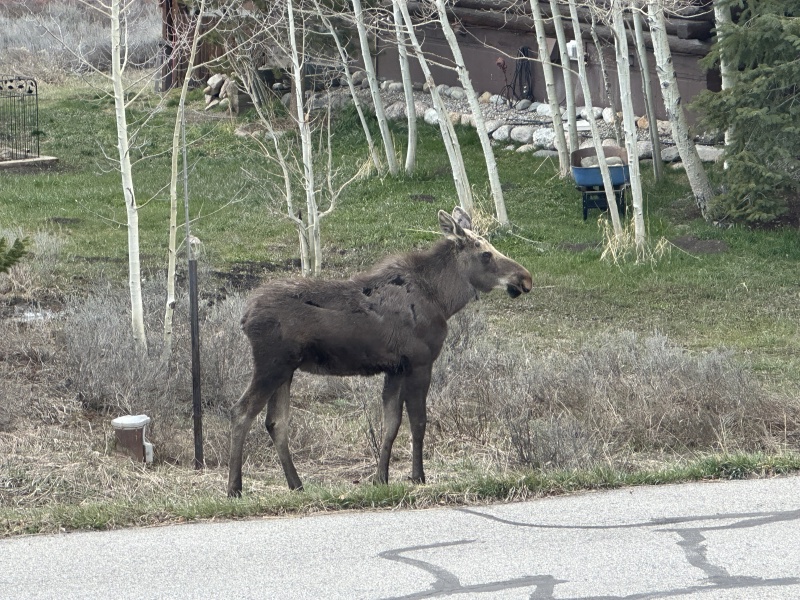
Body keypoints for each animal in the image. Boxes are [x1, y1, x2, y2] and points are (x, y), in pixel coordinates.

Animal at [228, 207, 532, 496]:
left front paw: (381, 478)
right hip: (272, 364)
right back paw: (235, 488)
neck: (442, 300)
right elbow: (418, 422)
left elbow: (391, 424)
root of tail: (245, 317)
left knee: (275, 422)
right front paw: (418, 477)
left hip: (286, 369)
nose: (525, 278)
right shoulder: (419, 362)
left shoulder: (395, 368)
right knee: (241, 411)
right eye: (485, 253)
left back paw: (296, 485)